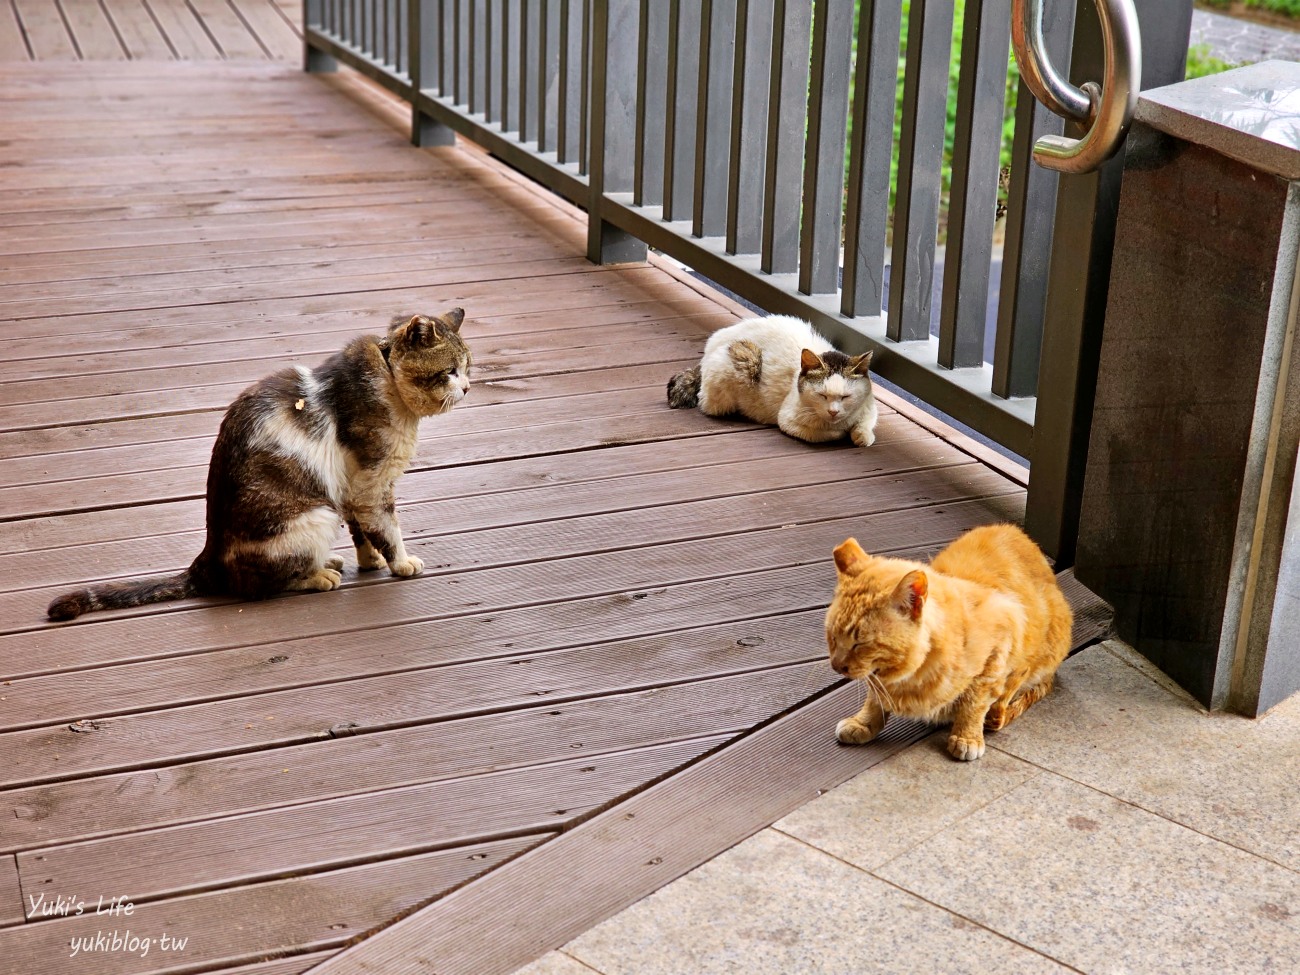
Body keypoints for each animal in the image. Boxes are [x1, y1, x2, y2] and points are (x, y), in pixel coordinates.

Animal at [45, 309, 473, 621]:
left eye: (469, 367)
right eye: (449, 371)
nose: (468, 387)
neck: (386, 375)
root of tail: (208, 557)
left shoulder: (352, 487)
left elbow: (362, 532)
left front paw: (369, 563)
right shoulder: (372, 483)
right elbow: (387, 529)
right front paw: (401, 563)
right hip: (317, 515)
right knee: (256, 587)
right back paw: (320, 575)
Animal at [670, 314, 873, 449]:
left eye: (846, 397)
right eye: (821, 395)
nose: (833, 412)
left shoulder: (869, 405)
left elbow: (866, 423)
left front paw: (862, 436)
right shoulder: (787, 421)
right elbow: (826, 434)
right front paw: (842, 432)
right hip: (744, 362)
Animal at [826, 527, 1071, 764]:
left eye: (860, 643)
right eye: (833, 637)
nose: (836, 666)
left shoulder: (1002, 640)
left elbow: (976, 701)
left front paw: (967, 736)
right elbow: (875, 698)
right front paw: (864, 723)